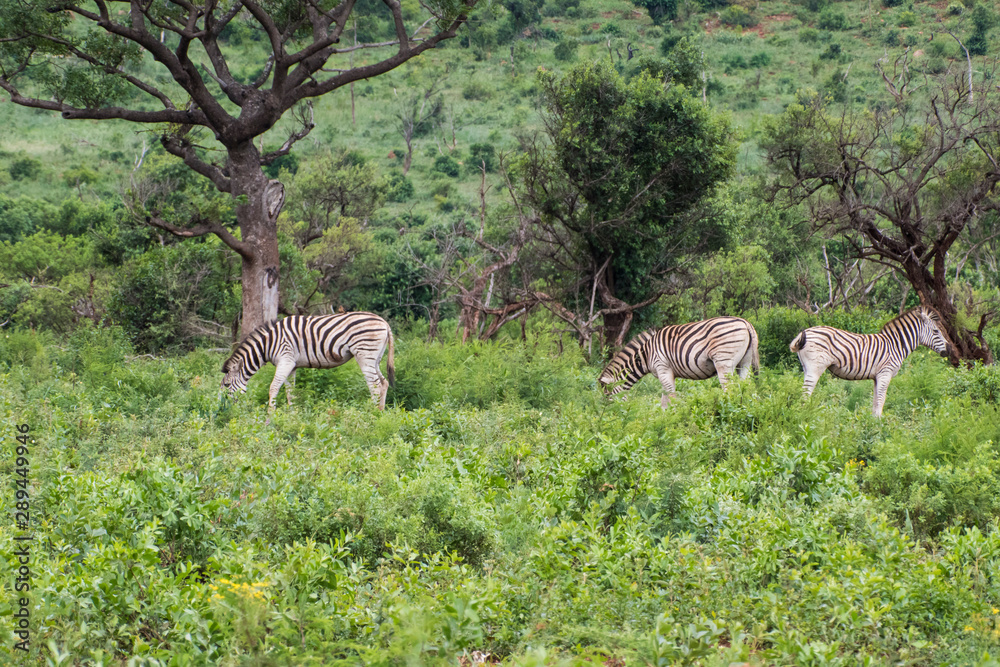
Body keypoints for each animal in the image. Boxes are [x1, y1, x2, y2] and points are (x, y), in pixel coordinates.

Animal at [221, 312, 396, 414]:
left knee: (375, 386)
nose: (223, 409)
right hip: (375, 358)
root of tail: (384, 322)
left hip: (365, 354)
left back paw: (371, 413)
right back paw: (381, 412)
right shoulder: (291, 365)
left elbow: (274, 387)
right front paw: (292, 414)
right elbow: (290, 391)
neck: (267, 344)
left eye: (227, 385)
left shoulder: (285, 360)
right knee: (384, 383)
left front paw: (270, 414)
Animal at [598, 317, 760, 408]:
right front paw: (664, 420)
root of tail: (746, 323)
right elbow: (665, 399)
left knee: (730, 390)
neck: (646, 355)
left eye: (607, 396)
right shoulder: (666, 373)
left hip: (724, 361)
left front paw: (674, 419)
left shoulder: (663, 368)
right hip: (744, 362)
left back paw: (728, 411)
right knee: (743, 387)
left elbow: (671, 397)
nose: (610, 414)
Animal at [789, 306, 953, 417]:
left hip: (806, 367)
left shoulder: (876, 376)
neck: (896, 345)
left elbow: (875, 401)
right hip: (815, 367)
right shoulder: (885, 373)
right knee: (806, 394)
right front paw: (879, 426)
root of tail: (804, 332)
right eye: (936, 332)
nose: (949, 350)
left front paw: (872, 423)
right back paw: (805, 416)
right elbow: (881, 400)